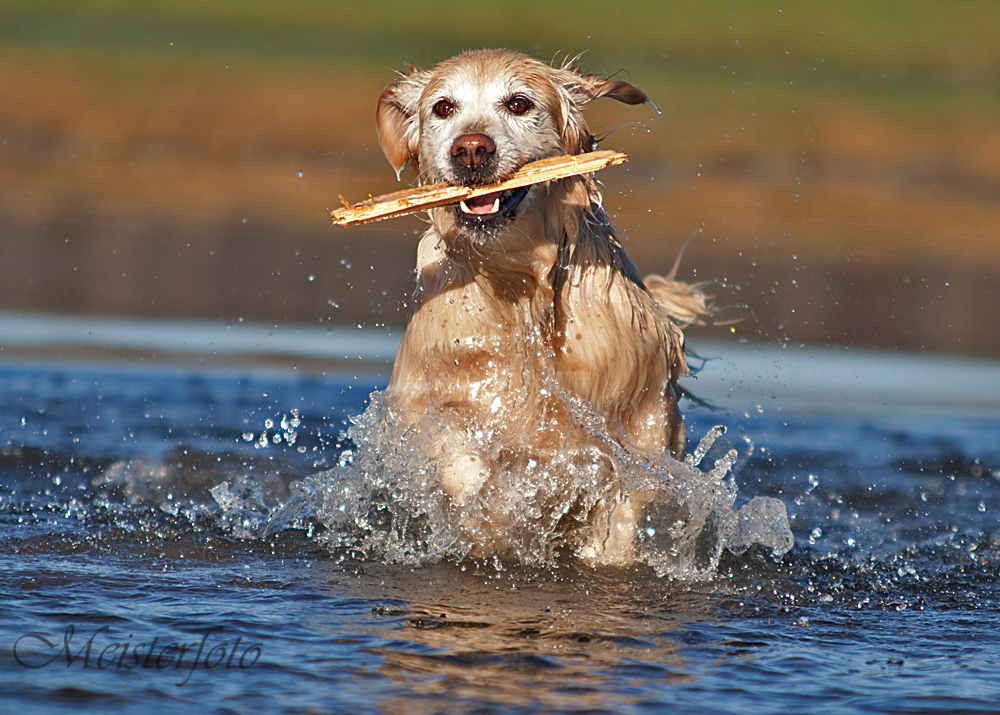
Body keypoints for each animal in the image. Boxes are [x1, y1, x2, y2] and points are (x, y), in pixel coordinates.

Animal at [376, 50, 712, 564]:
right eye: (442, 108)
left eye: (519, 103)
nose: (470, 150)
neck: (518, 289)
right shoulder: (430, 393)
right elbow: (457, 451)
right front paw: (491, 512)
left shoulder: (645, 413)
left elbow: (626, 502)